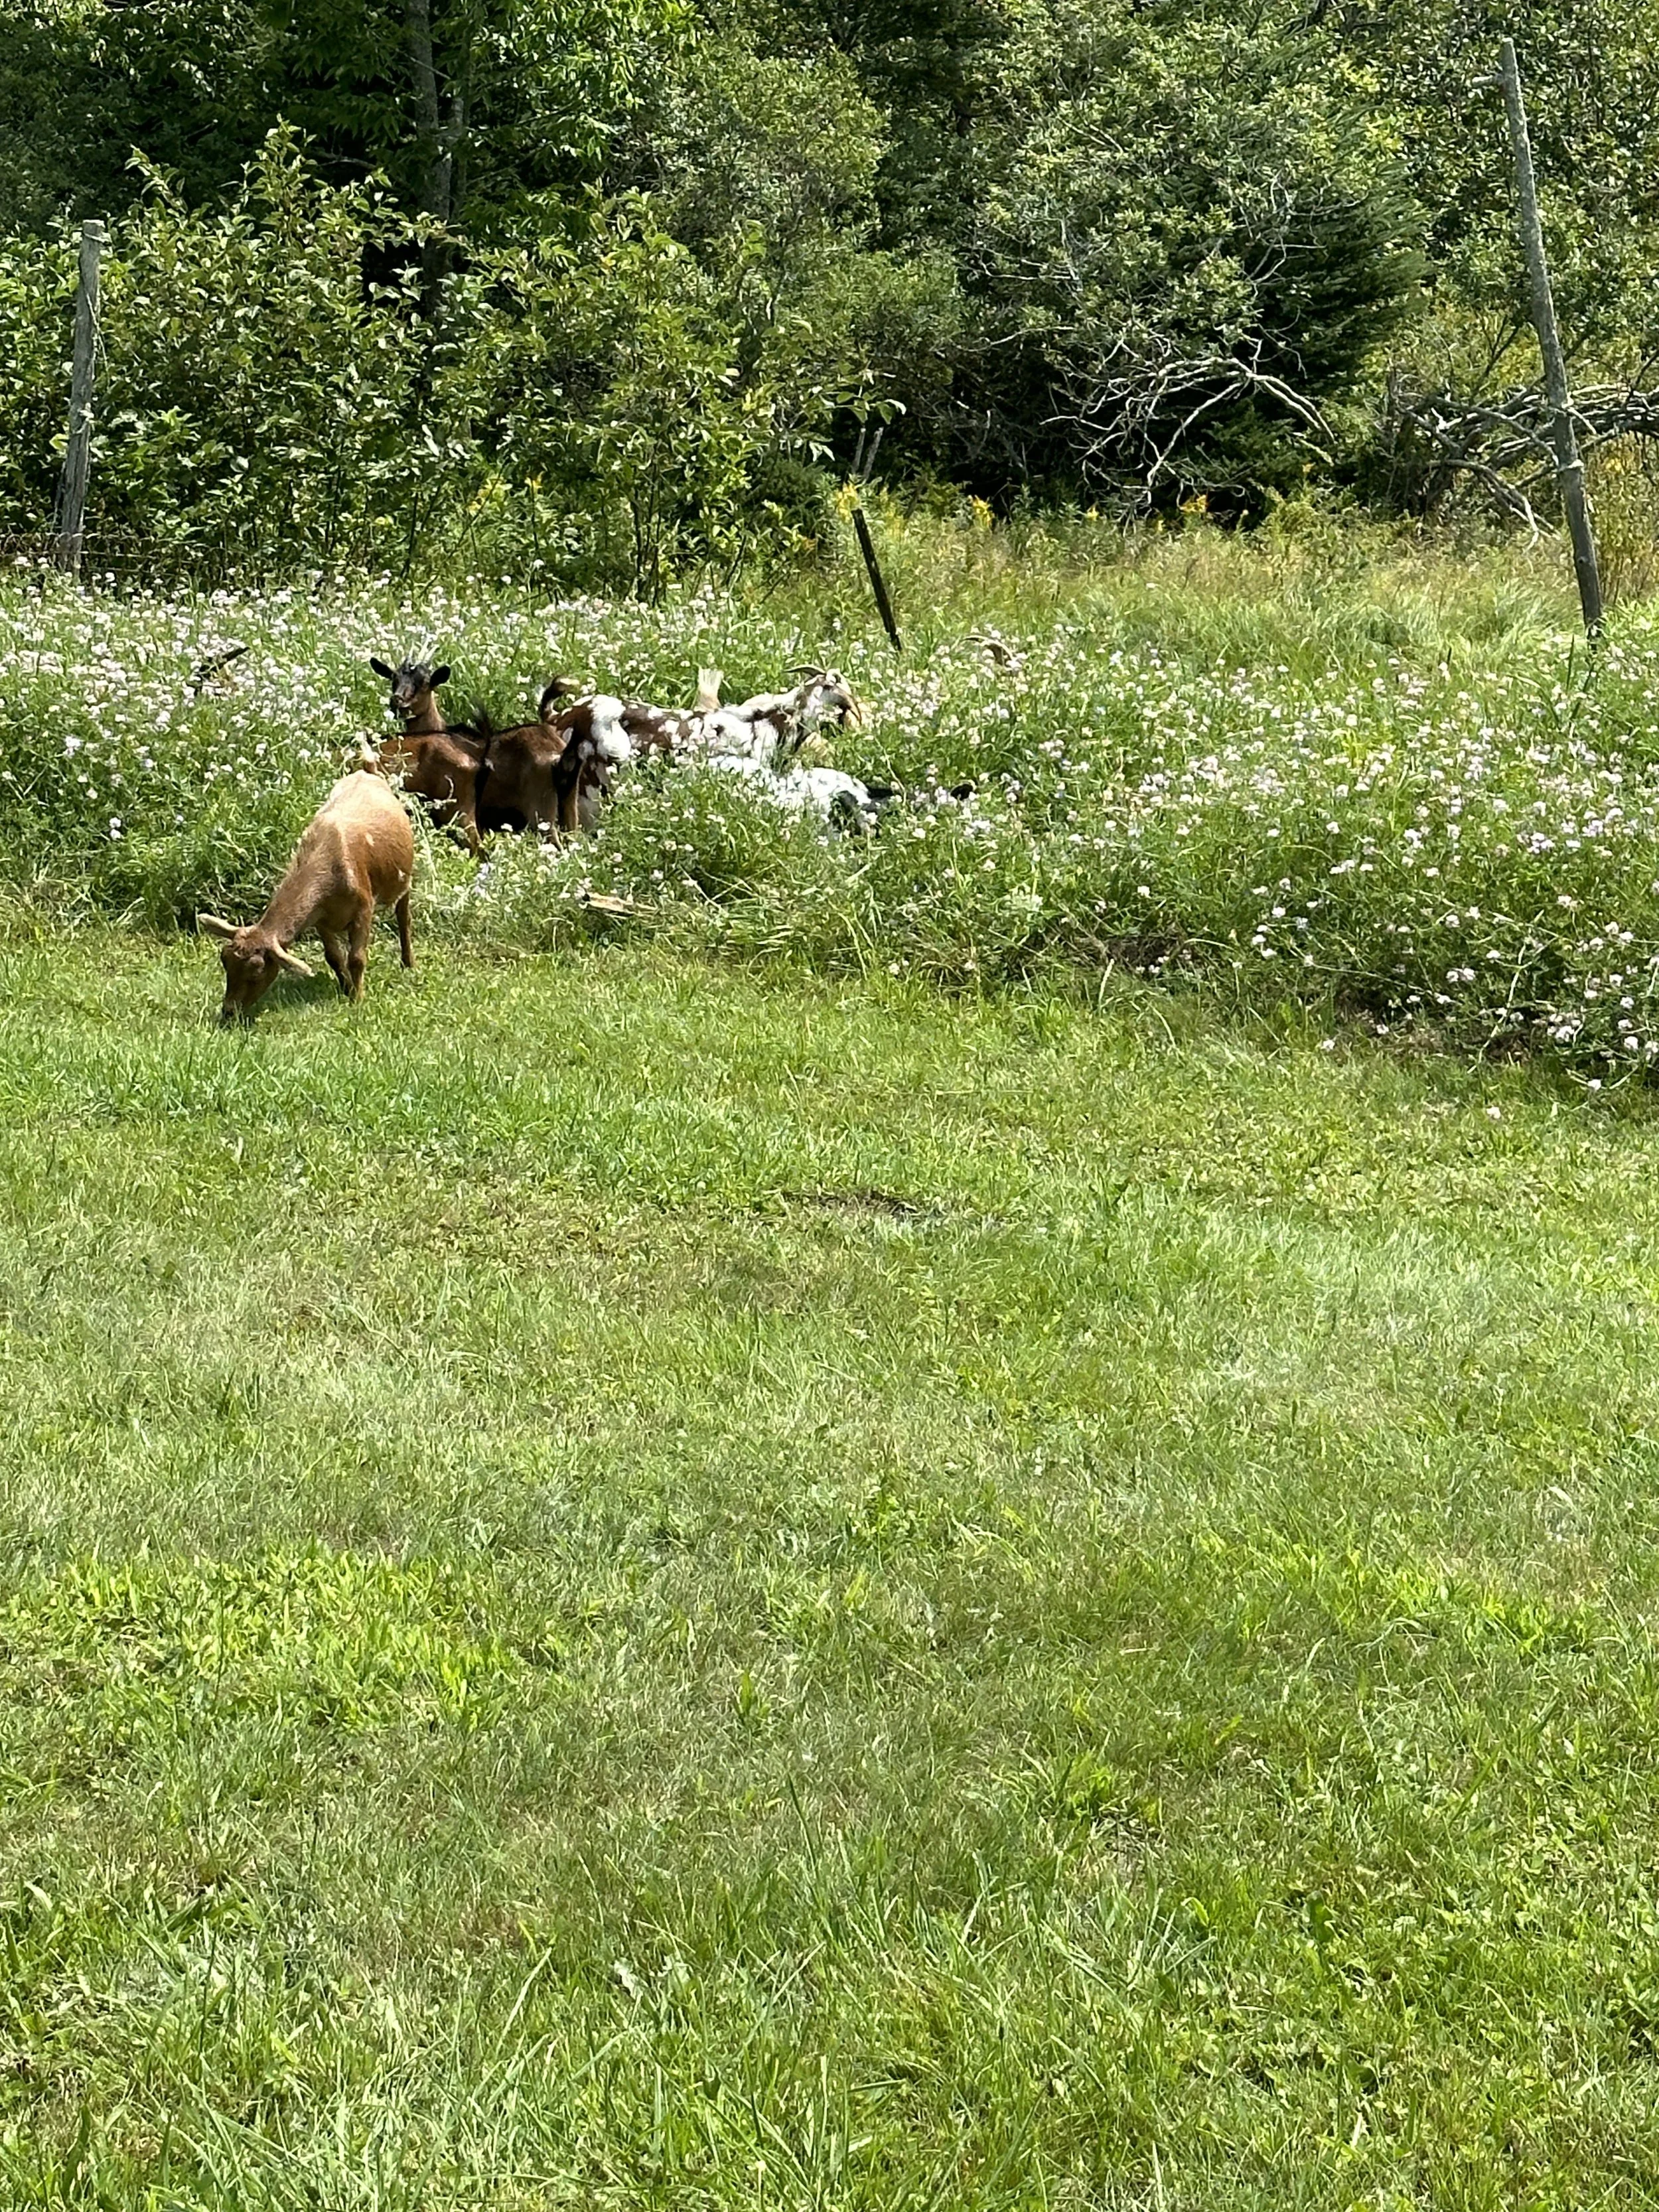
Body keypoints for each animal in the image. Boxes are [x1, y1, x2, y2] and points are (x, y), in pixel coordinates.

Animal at [200, 770, 414, 1024]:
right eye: (225, 961)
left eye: (257, 971)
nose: (229, 1012)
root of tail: (365, 771)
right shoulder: (320, 918)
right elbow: (333, 957)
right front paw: (346, 989)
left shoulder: (364, 907)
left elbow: (357, 958)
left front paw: (357, 1000)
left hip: (405, 878)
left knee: (403, 917)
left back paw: (408, 963)